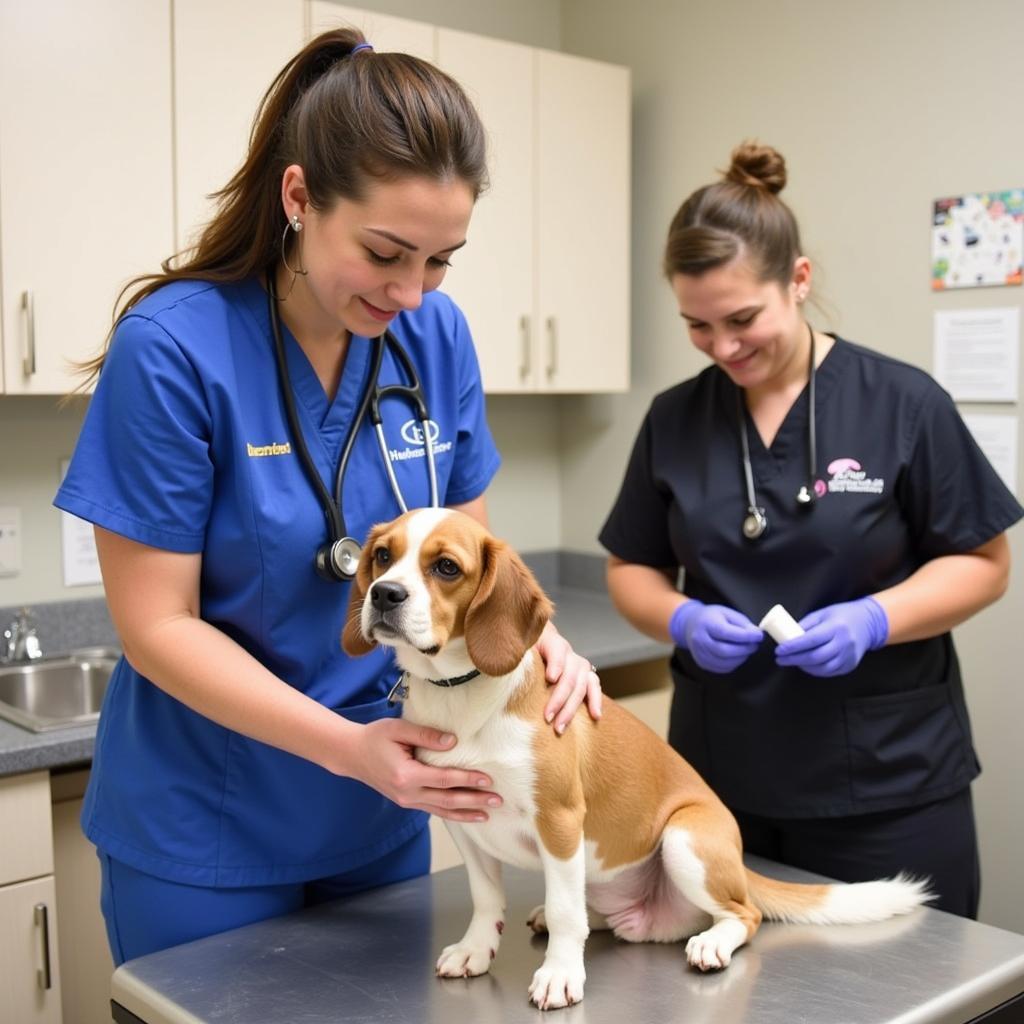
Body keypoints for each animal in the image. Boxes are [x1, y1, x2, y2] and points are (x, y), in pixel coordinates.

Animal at [342, 507, 929, 1011]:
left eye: (446, 567)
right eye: (382, 556)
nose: (384, 593)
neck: (462, 696)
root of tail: (738, 865)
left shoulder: (559, 819)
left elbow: (566, 911)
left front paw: (560, 975)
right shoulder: (461, 817)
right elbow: (487, 897)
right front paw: (475, 949)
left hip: (684, 840)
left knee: (745, 914)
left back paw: (712, 942)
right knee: (595, 913)